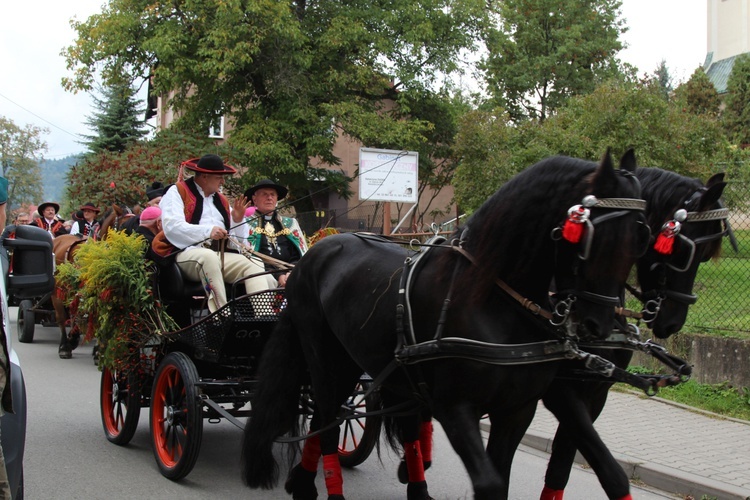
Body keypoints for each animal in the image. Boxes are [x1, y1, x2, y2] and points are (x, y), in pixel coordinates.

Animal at [244, 150, 648, 498]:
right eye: (594, 237)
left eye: (639, 238)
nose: (600, 327)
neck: (492, 300)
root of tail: (311, 254)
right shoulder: (455, 408)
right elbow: (489, 484)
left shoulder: (518, 410)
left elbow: (509, 479)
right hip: (329, 362)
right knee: (326, 423)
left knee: (332, 422)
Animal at [536, 166, 732, 498]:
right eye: (686, 253)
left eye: (705, 256)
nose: (673, 322)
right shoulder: (559, 390)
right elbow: (607, 469)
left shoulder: (595, 393)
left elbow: (561, 467)